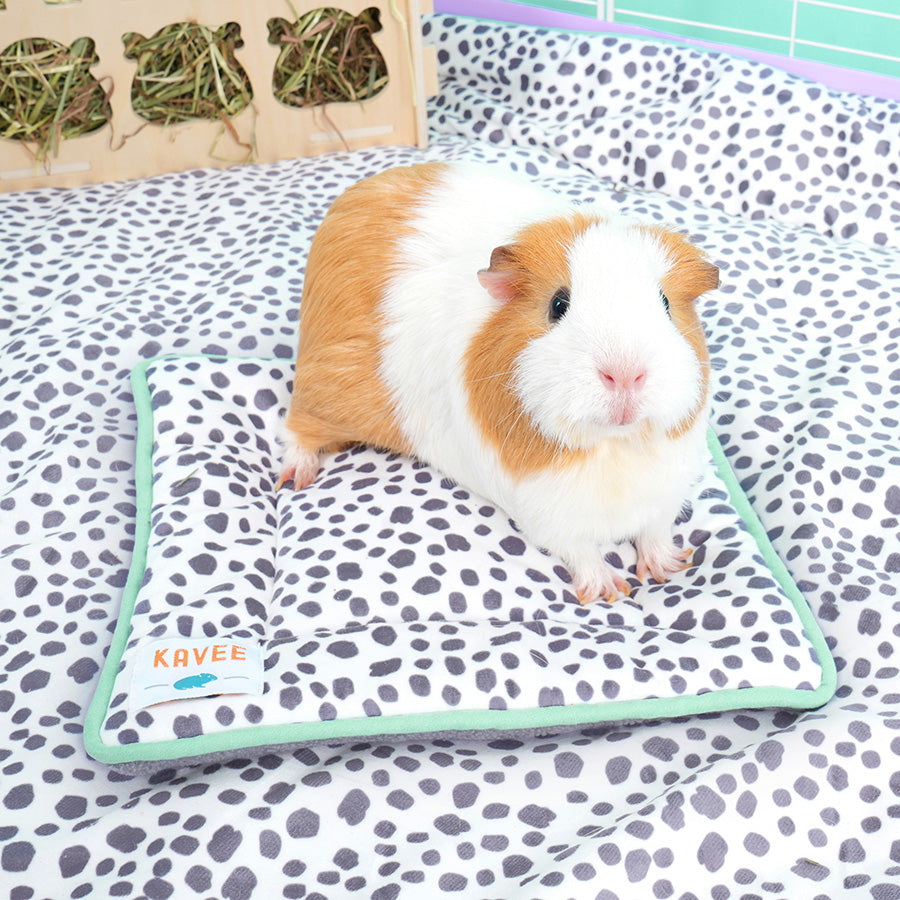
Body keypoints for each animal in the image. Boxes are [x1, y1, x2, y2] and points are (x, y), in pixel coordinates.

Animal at [278, 161, 719, 604]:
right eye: (558, 304)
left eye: (665, 304)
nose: (625, 374)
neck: (612, 448)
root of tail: (349, 202)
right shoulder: (546, 513)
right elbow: (582, 551)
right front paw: (608, 589)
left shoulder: (664, 495)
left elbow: (656, 532)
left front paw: (668, 569)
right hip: (325, 391)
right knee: (297, 431)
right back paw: (296, 479)